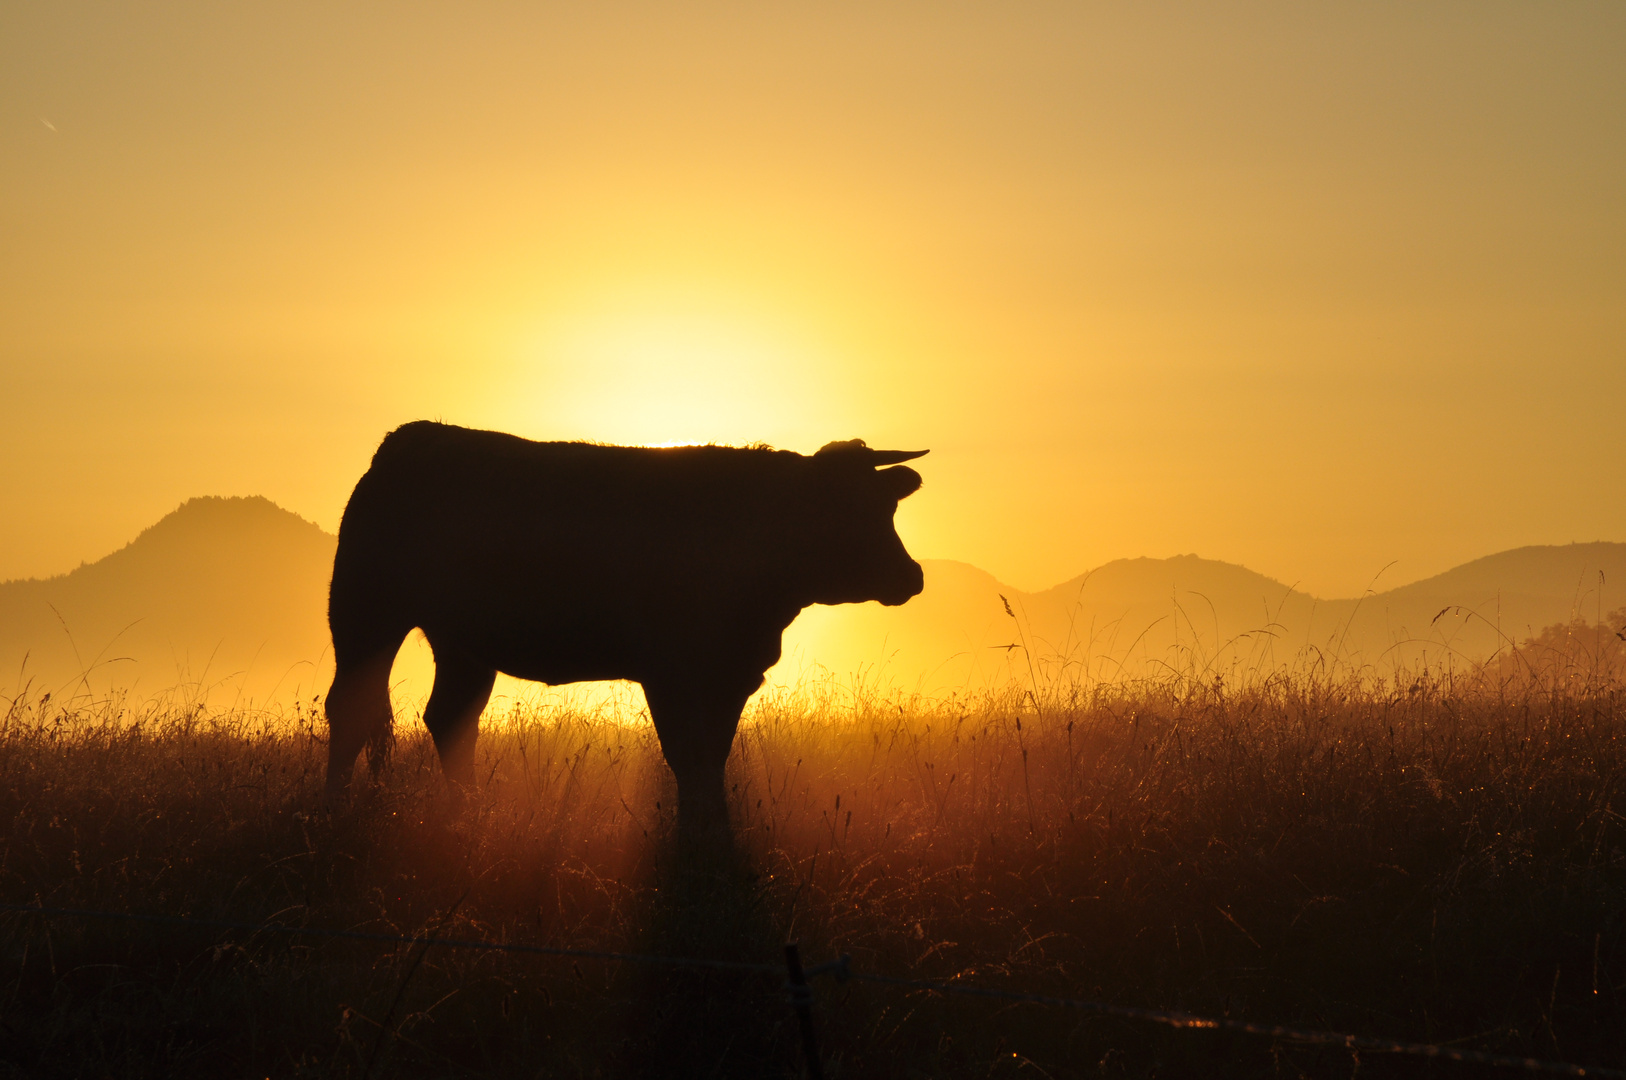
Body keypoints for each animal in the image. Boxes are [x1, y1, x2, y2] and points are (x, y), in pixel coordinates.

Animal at [326, 416, 930, 823]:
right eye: (848, 508)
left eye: (887, 504)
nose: (912, 576)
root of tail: (413, 437)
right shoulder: (671, 672)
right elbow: (688, 755)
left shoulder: (733, 672)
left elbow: (713, 757)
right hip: (365, 612)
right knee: (351, 710)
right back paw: (334, 812)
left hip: (463, 643)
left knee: (451, 719)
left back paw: (469, 817)